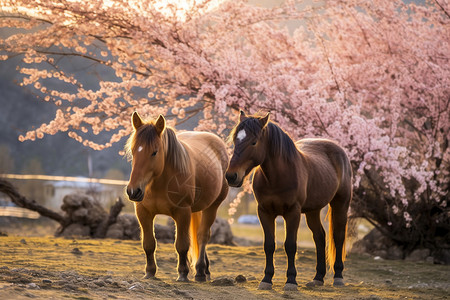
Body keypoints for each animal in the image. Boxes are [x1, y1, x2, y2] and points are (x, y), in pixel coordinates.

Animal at [125, 111, 229, 282]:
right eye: (133, 151)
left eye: (154, 152)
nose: (134, 191)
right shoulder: (143, 212)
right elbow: (148, 244)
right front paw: (150, 272)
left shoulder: (183, 212)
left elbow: (182, 244)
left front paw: (183, 274)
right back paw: (205, 270)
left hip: (212, 207)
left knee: (202, 236)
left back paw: (200, 272)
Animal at [227, 110, 350, 290]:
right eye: (235, 140)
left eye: (254, 142)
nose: (231, 176)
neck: (277, 177)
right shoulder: (264, 212)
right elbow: (269, 245)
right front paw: (266, 279)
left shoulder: (293, 212)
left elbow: (290, 245)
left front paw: (291, 280)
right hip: (313, 210)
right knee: (319, 237)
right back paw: (318, 278)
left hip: (340, 203)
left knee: (338, 236)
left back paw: (339, 277)